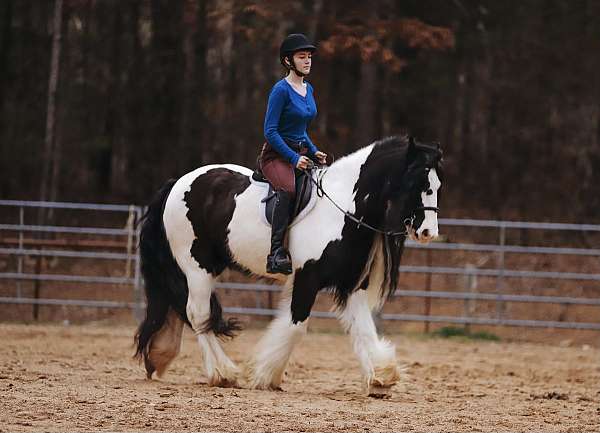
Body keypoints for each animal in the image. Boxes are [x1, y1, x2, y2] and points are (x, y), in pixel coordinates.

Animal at [134, 134, 440, 394]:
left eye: (437, 186)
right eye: (418, 184)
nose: (428, 232)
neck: (342, 210)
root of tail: (177, 182)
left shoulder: (351, 284)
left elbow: (363, 328)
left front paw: (381, 375)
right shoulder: (307, 278)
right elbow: (295, 326)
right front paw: (265, 376)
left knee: (180, 306)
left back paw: (160, 356)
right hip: (197, 267)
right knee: (197, 313)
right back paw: (223, 373)